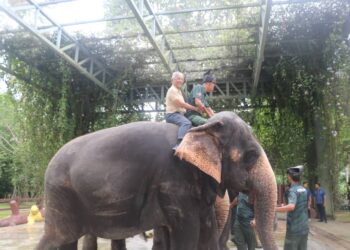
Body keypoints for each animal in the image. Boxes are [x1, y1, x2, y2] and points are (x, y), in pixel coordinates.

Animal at [37, 112, 278, 250]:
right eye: (251, 156)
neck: (201, 128)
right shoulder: (173, 180)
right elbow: (188, 235)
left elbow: (205, 234)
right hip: (61, 194)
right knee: (57, 238)